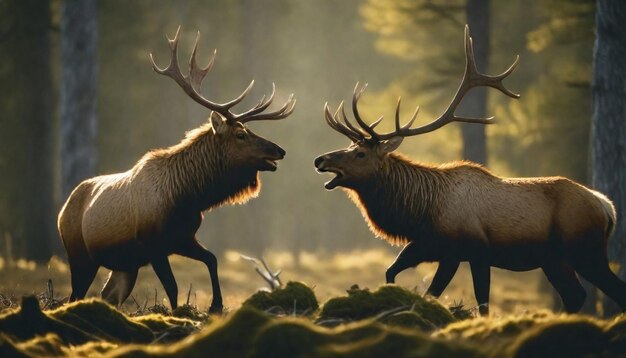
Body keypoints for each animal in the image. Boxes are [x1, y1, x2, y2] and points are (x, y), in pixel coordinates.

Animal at [57, 28, 294, 314]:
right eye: (240, 135)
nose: (279, 150)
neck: (189, 197)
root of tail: (62, 210)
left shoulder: (183, 238)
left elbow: (212, 259)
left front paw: (216, 305)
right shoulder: (154, 245)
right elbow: (172, 287)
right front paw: (178, 312)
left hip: (125, 265)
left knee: (107, 294)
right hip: (79, 255)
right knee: (75, 295)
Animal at [314, 26, 620, 314]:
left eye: (360, 153)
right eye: (349, 146)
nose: (320, 160)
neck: (420, 210)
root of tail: (607, 207)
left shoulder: (473, 250)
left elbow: (480, 301)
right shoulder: (428, 246)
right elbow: (395, 273)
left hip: (585, 251)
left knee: (610, 288)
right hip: (555, 259)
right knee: (575, 295)